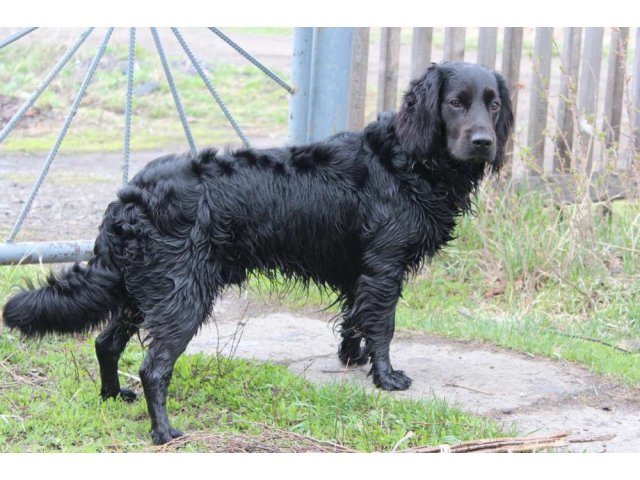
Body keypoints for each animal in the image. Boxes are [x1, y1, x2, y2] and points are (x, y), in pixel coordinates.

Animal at [3, 62, 516, 444]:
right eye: (455, 102)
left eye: (493, 103)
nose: (484, 142)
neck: (408, 159)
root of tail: (131, 197)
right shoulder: (385, 265)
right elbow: (383, 325)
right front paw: (386, 378)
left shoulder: (360, 268)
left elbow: (355, 318)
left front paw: (352, 359)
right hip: (182, 294)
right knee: (153, 367)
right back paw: (165, 433)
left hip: (141, 288)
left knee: (106, 343)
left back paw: (112, 397)